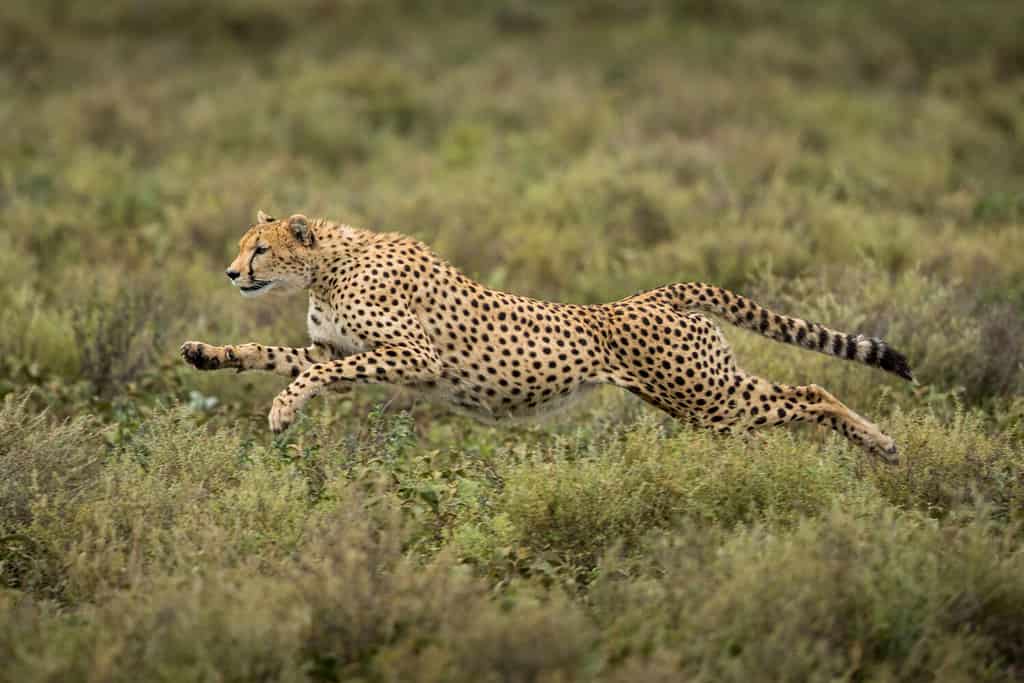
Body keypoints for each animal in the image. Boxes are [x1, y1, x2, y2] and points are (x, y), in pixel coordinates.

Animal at [182, 210, 913, 462]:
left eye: (260, 248)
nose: (231, 272)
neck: (328, 264)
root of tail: (654, 293)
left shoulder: (412, 356)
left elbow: (312, 373)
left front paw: (282, 411)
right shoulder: (338, 348)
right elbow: (274, 355)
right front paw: (208, 353)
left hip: (709, 398)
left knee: (813, 391)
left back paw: (881, 444)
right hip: (702, 398)